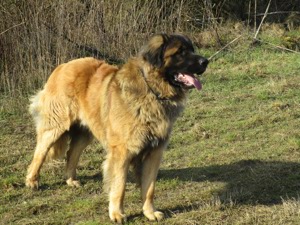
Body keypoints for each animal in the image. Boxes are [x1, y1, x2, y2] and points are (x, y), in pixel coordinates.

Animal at [25, 34, 209, 222]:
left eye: (192, 49)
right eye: (180, 52)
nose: (205, 61)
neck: (151, 90)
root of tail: (62, 66)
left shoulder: (155, 152)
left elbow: (149, 187)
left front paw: (149, 212)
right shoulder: (122, 152)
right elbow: (119, 186)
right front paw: (117, 214)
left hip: (85, 132)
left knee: (71, 153)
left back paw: (70, 180)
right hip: (56, 126)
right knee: (40, 152)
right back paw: (32, 181)